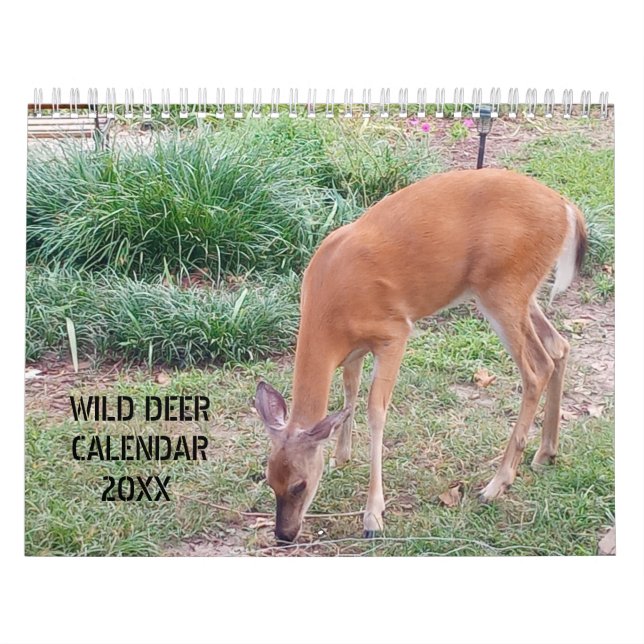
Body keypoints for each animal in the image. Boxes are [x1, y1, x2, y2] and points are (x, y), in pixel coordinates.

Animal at [254, 168, 587, 543]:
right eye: (269, 479)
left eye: (299, 485)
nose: (284, 534)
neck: (331, 312)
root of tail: (567, 208)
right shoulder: (354, 351)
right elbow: (349, 393)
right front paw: (342, 457)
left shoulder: (394, 332)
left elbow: (375, 410)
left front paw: (373, 515)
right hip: (520, 293)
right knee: (558, 346)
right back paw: (545, 453)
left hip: (503, 288)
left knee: (536, 369)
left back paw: (496, 484)